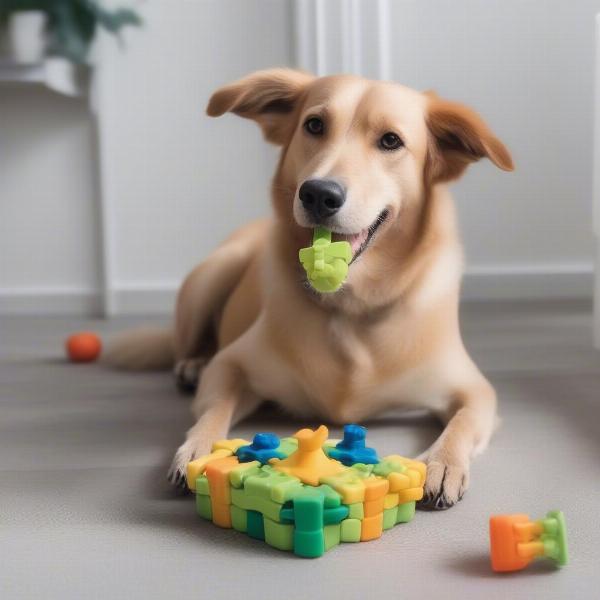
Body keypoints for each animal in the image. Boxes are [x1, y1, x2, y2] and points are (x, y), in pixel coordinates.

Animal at [106, 70, 510, 510]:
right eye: (314, 125)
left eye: (390, 141)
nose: (319, 193)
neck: (350, 308)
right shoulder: (233, 365)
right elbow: (214, 408)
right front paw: (200, 447)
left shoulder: (474, 388)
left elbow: (463, 421)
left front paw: (443, 463)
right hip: (212, 273)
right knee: (188, 345)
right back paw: (191, 365)